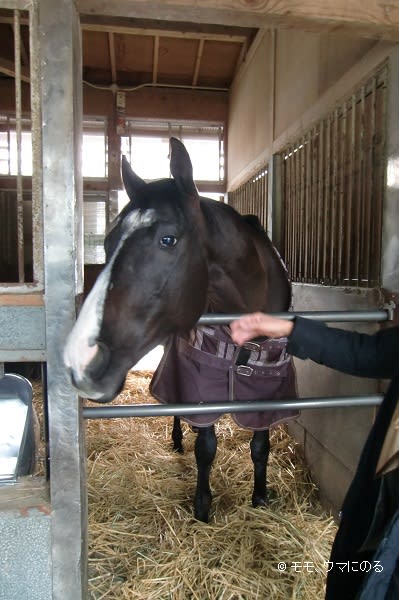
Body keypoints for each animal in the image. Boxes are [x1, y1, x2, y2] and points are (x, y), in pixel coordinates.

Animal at [65, 138, 296, 524]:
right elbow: (206, 446)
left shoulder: (269, 388)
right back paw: (176, 438)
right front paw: (202, 505)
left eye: (168, 239)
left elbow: (260, 444)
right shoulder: (200, 379)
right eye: (109, 243)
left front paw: (261, 496)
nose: (82, 359)